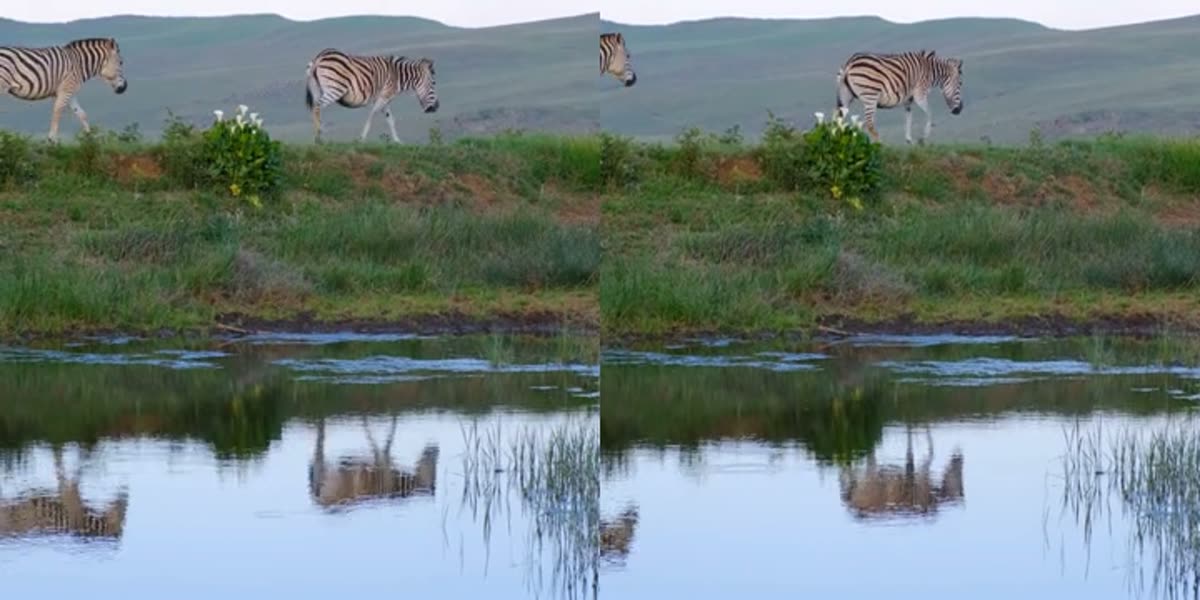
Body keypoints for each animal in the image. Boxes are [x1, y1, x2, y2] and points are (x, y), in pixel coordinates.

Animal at [304, 48, 439, 143]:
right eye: (433, 83)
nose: (436, 107)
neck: (397, 76)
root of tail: (318, 58)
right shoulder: (384, 96)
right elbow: (372, 116)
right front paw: (361, 139)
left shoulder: (385, 99)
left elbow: (390, 120)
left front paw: (398, 142)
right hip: (335, 89)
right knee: (317, 107)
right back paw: (319, 137)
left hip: (317, 89)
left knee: (314, 108)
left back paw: (317, 137)